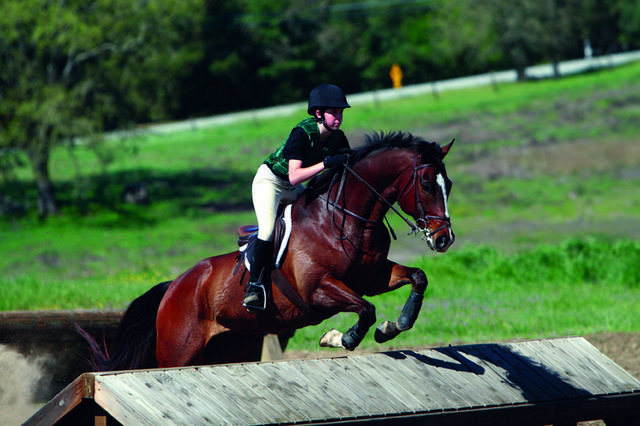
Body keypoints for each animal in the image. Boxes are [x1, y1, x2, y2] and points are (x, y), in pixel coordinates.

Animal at [81, 131, 456, 372]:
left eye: (448, 185)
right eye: (426, 185)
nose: (444, 240)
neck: (346, 219)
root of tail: (172, 286)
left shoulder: (372, 277)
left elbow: (417, 278)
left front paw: (394, 326)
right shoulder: (318, 290)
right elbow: (366, 309)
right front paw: (339, 337)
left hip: (228, 346)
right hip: (177, 350)